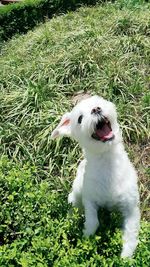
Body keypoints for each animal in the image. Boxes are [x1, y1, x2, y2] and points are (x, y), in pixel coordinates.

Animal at [51, 95, 141, 258]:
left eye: (100, 102)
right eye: (80, 118)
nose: (96, 109)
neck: (107, 161)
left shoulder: (131, 208)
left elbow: (130, 236)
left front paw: (125, 258)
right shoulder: (89, 200)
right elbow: (93, 222)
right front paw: (86, 237)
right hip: (76, 195)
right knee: (73, 206)